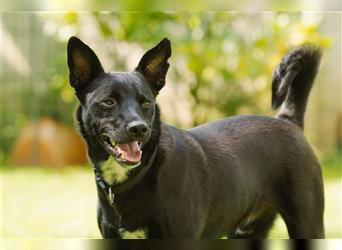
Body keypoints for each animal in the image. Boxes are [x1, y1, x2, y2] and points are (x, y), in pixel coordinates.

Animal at [66, 35, 324, 238]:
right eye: (108, 101)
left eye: (146, 102)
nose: (139, 129)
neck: (142, 171)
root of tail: (288, 120)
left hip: (307, 224)